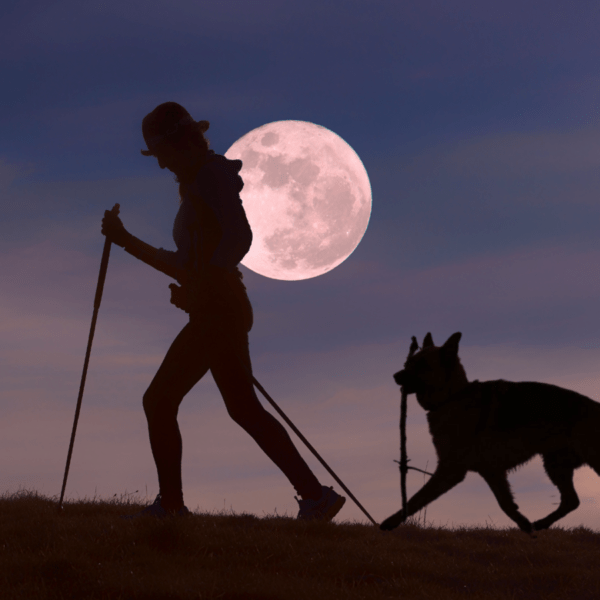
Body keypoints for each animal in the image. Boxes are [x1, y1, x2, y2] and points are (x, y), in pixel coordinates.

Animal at [380, 332, 600, 536]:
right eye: (408, 363)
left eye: (422, 365)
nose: (395, 376)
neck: (453, 396)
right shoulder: (492, 471)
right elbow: (505, 504)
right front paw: (524, 524)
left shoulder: (451, 470)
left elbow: (416, 499)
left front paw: (390, 522)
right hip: (555, 465)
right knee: (571, 500)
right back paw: (541, 523)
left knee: (571, 500)